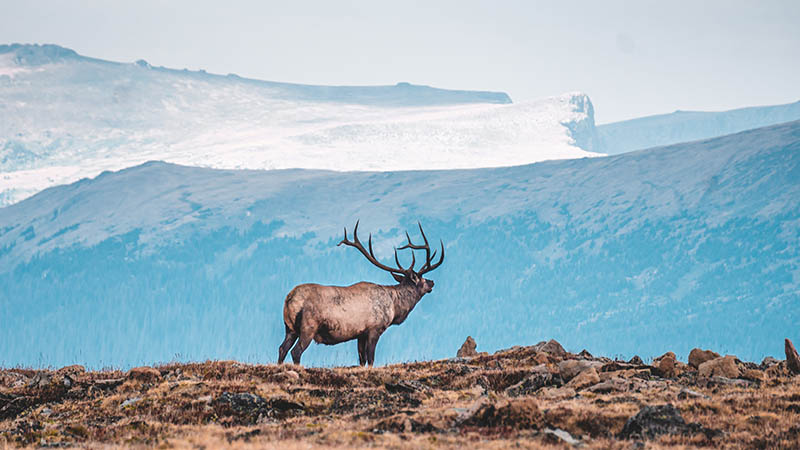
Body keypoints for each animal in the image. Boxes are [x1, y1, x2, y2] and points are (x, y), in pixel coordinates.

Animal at [280, 221, 444, 366]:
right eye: (422, 279)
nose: (432, 282)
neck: (394, 307)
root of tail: (290, 298)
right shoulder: (374, 329)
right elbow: (370, 359)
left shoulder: (360, 334)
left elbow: (362, 360)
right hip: (309, 327)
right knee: (296, 351)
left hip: (290, 328)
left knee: (282, 348)